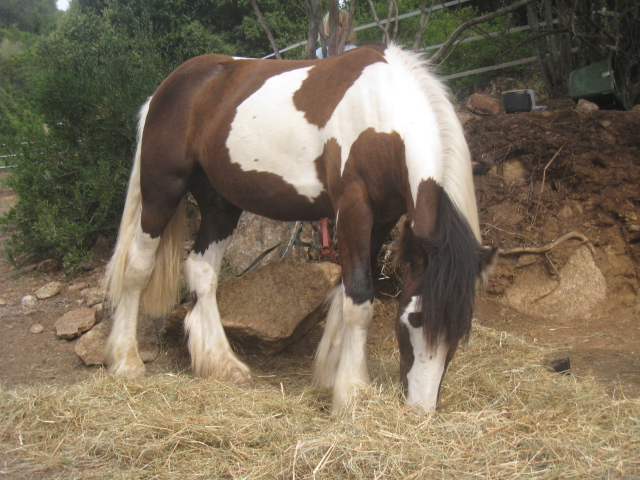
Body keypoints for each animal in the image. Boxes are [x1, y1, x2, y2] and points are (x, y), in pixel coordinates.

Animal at [104, 43, 496, 414]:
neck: (380, 112)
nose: (420, 409)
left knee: (202, 270)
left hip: (220, 204)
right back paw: (127, 361)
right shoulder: (353, 208)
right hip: (162, 189)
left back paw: (223, 365)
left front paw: (331, 374)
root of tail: (164, 90)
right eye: (412, 319)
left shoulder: (382, 218)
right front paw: (352, 392)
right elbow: (359, 299)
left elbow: (349, 291)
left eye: (461, 331)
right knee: (137, 268)